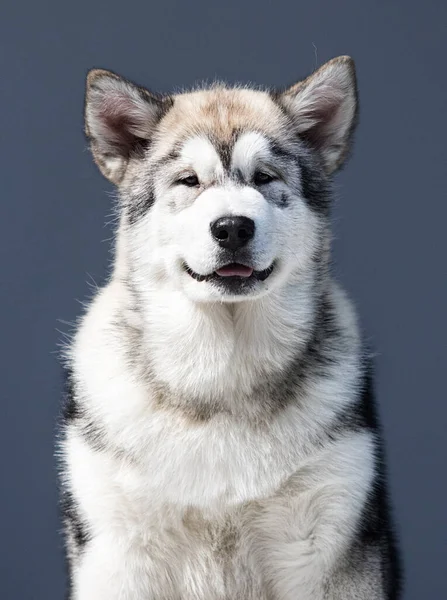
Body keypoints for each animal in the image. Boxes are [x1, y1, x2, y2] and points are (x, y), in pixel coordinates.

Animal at [58, 55, 402, 596]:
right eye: (188, 181)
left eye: (264, 177)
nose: (233, 227)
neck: (222, 372)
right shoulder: (118, 556)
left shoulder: (328, 548)